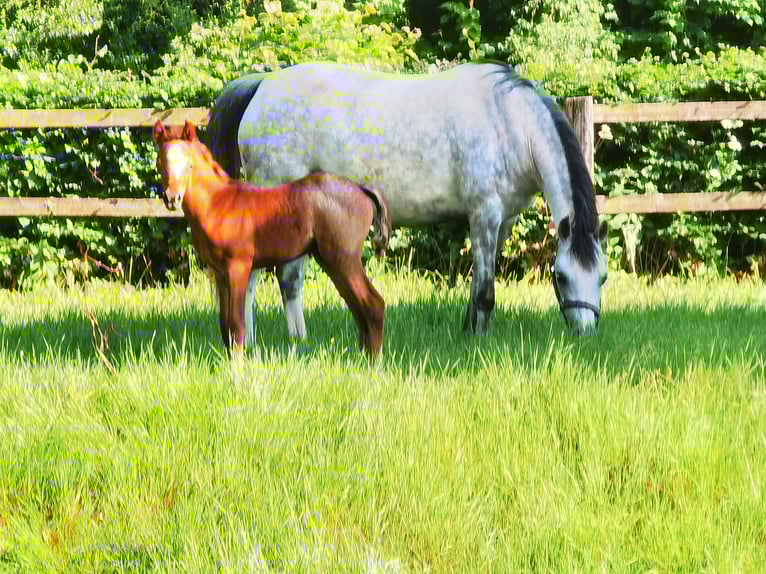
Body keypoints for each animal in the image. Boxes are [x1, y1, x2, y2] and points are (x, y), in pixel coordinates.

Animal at [152, 120, 391, 355]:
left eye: (189, 164)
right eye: (160, 162)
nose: (172, 198)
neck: (219, 203)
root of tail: (361, 189)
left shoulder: (238, 267)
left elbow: (236, 324)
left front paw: (238, 365)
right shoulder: (219, 273)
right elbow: (224, 325)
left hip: (344, 258)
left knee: (374, 305)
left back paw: (373, 361)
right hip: (330, 260)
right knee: (358, 308)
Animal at [207, 61, 608, 342]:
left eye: (602, 278)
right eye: (561, 276)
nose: (586, 332)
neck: (508, 121)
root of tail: (264, 85)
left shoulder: (501, 222)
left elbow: (478, 284)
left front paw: (468, 332)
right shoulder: (484, 215)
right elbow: (485, 292)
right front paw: (480, 342)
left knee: (289, 278)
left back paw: (295, 341)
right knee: (263, 273)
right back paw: (256, 342)